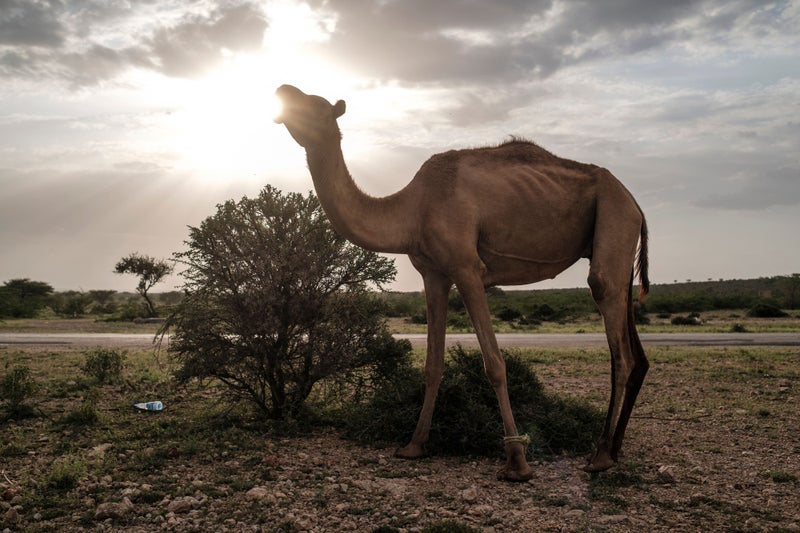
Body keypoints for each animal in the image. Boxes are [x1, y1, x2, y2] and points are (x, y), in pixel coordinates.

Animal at [276, 85, 648, 480]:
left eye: (314, 105)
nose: (282, 91)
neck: (412, 209)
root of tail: (636, 204)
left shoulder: (467, 267)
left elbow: (495, 365)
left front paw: (517, 461)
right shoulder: (433, 273)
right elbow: (433, 364)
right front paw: (414, 445)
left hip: (614, 214)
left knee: (615, 336)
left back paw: (600, 456)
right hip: (619, 246)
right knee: (634, 350)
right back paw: (614, 448)